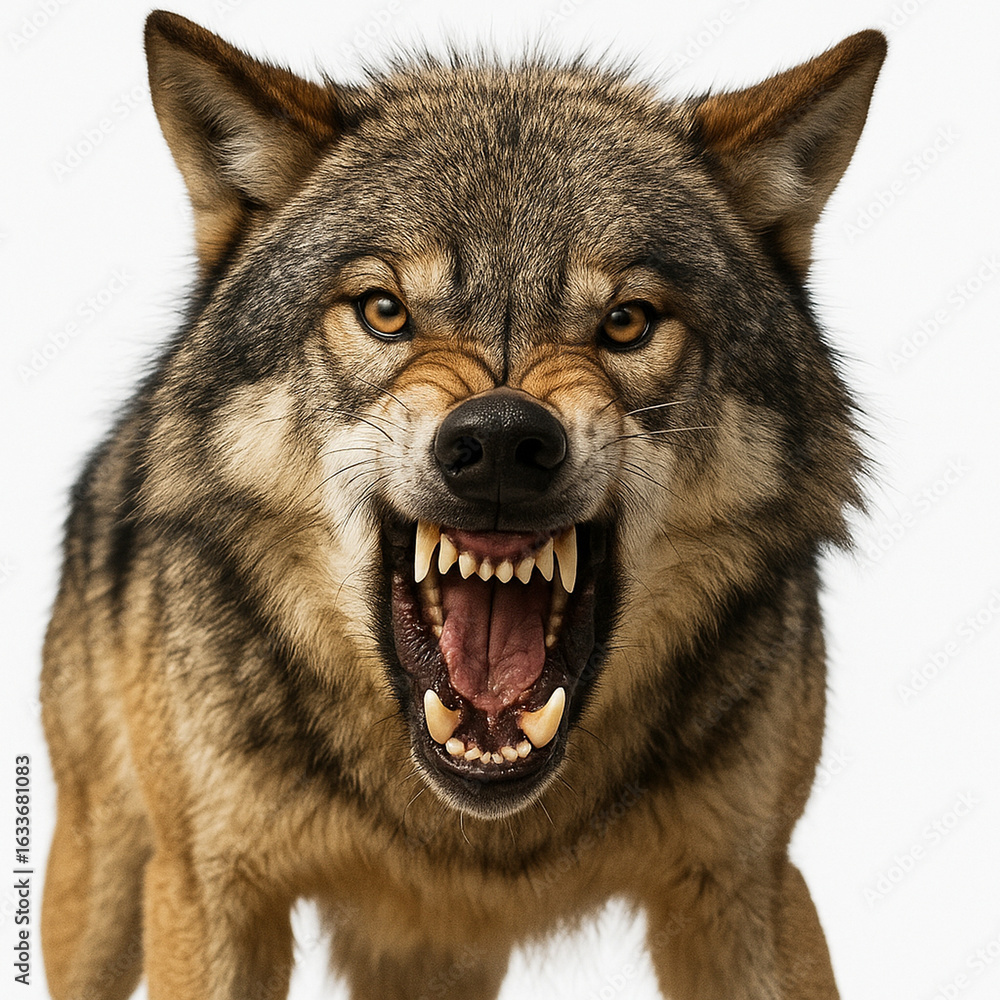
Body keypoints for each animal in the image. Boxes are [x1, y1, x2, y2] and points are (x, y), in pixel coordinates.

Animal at [40, 11, 885, 999]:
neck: (466, 832)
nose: (504, 443)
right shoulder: (210, 890)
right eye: (384, 310)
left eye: (627, 322)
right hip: (98, 888)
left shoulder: (751, 885)